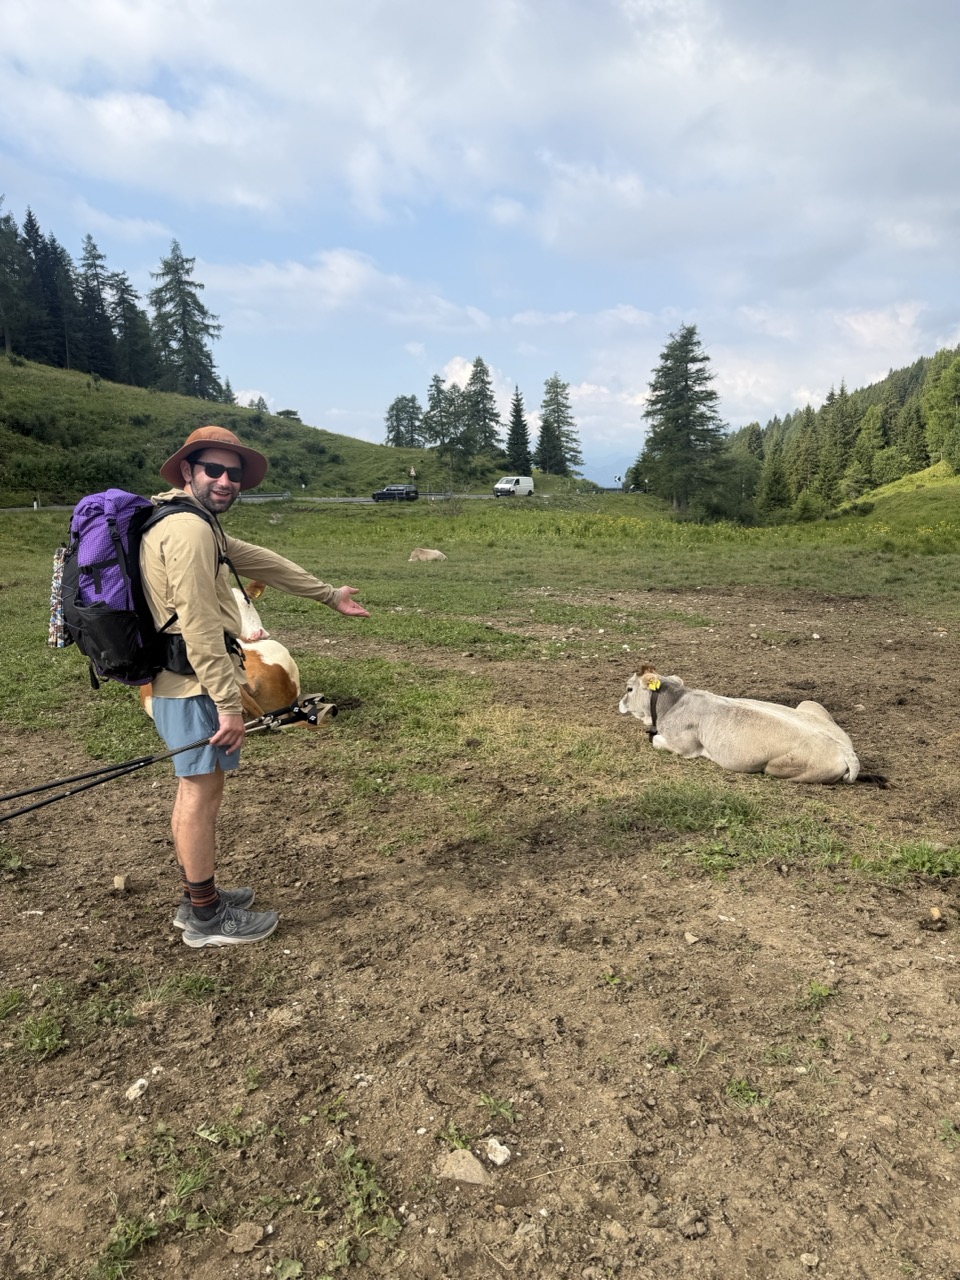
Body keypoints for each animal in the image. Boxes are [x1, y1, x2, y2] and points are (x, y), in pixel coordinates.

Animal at [619, 666, 860, 784]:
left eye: (629, 689)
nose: (619, 704)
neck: (673, 702)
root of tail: (845, 750)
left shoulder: (683, 746)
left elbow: (656, 741)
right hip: (809, 704)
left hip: (776, 767)